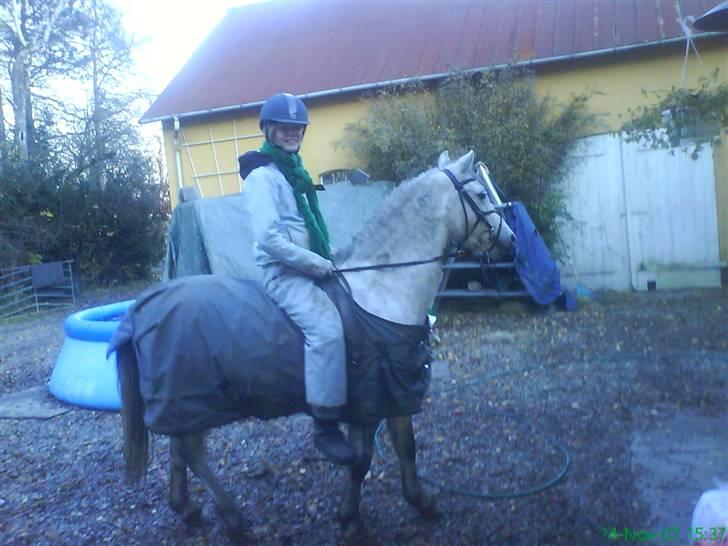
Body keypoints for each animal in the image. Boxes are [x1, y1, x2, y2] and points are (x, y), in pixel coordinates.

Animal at [110, 150, 516, 541]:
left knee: (179, 450)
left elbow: (397, 450)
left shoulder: (386, 395)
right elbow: (371, 457)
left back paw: (188, 509)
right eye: (481, 194)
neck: (382, 287)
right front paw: (358, 520)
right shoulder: (377, 398)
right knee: (192, 454)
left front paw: (412, 505)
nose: (511, 240)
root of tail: (143, 309)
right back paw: (234, 518)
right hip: (191, 400)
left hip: (185, 405)